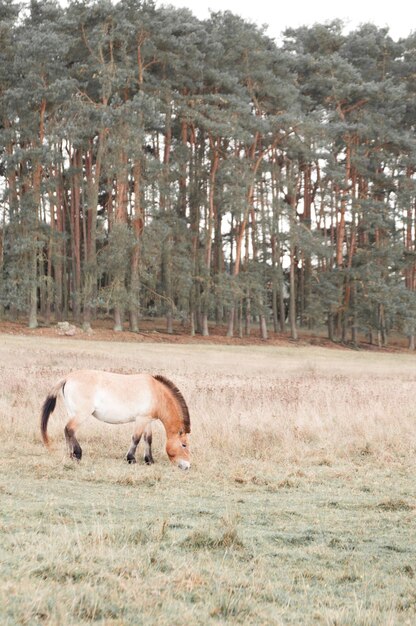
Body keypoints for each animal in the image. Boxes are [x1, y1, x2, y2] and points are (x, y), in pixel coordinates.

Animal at [40, 370, 190, 468]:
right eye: (184, 445)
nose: (187, 466)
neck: (157, 393)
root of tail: (68, 378)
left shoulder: (147, 420)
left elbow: (148, 439)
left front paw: (149, 460)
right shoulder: (141, 420)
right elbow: (136, 439)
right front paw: (131, 459)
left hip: (73, 413)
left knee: (67, 431)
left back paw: (69, 454)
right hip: (81, 414)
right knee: (70, 429)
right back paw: (77, 454)